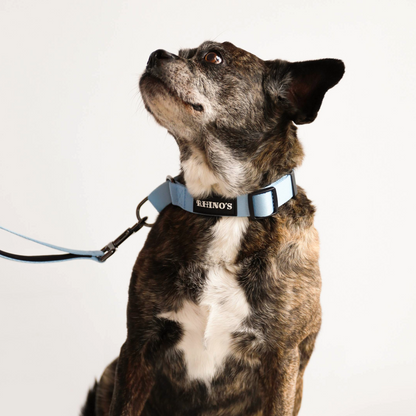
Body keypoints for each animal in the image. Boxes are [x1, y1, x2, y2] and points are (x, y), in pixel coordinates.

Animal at [81, 39, 344, 416]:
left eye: (213, 57)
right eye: (181, 52)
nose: (156, 55)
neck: (224, 206)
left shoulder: (282, 360)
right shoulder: (138, 347)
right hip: (108, 374)